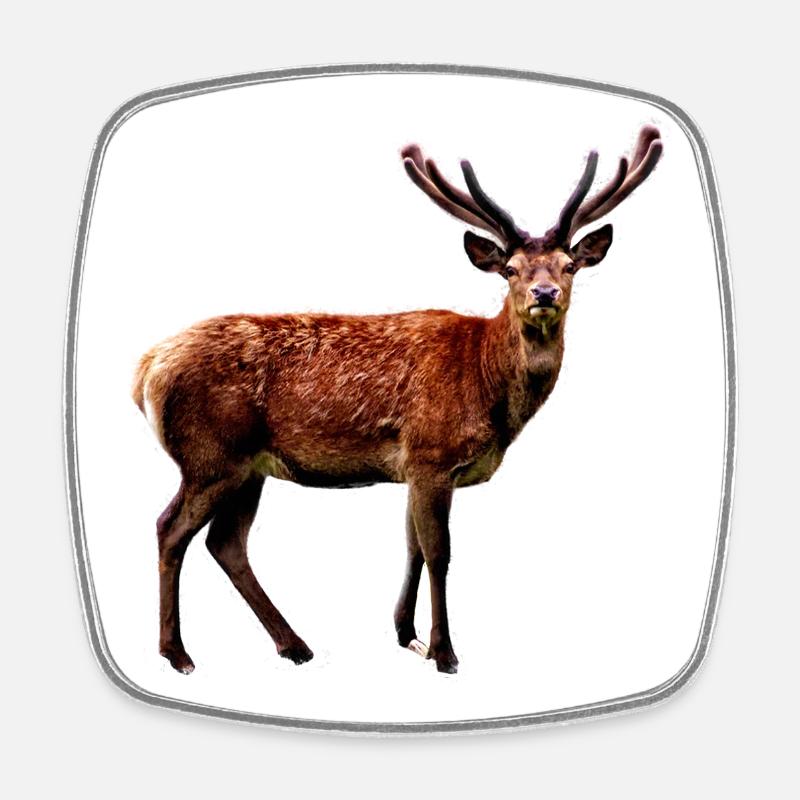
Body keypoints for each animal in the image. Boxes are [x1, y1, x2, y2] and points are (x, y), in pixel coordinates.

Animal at [132, 126, 662, 675]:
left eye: (569, 265)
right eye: (511, 269)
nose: (544, 293)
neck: (489, 391)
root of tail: (146, 369)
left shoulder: (412, 467)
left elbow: (412, 548)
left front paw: (407, 634)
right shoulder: (432, 454)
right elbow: (439, 552)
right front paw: (445, 652)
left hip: (248, 466)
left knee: (227, 543)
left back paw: (294, 645)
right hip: (210, 455)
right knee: (170, 528)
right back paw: (177, 653)